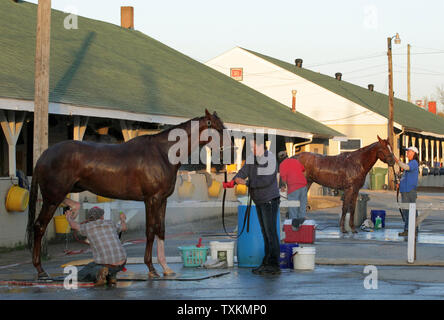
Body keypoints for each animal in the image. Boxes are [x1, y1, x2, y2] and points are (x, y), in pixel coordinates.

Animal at [26, 109, 229, 278]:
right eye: (218, 129)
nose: (228, 151)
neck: (162, 153)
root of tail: (44, 155)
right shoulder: (151, 200)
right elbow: (150, 230)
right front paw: (151, 268)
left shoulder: (162, 200)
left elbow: (161, 230)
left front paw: (165, 268)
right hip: (52, 198)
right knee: (39, 226)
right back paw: (40, 270)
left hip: (58, 194)